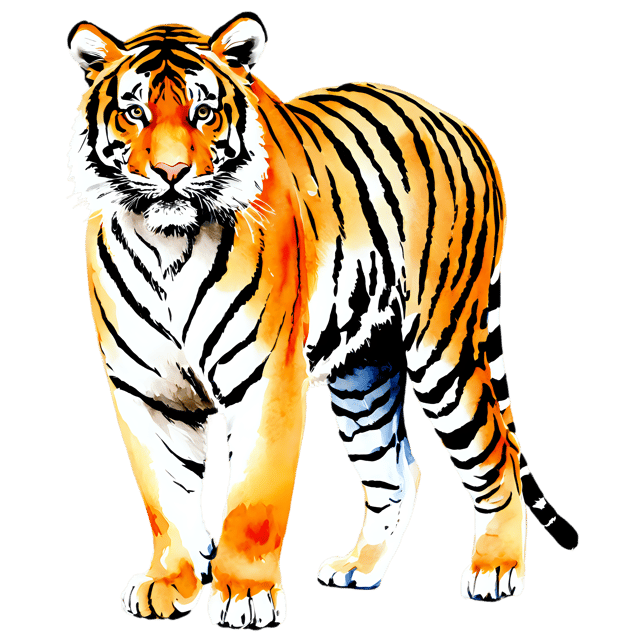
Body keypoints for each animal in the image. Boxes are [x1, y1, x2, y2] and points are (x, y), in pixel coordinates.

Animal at [66, 11, 579, 629]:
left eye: (204, 113)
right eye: (135, 112)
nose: (170, 172)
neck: (169, 244)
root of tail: (462, 128)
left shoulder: (265, 379)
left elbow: (254, 496)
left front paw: (245, 595)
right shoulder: (145, 392)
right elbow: (164, 497)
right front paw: (169, 583)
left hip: (443, 350)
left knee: (496, 454)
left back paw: (496, 571)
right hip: (365, 373)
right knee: (396, 471)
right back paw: (360, 567)